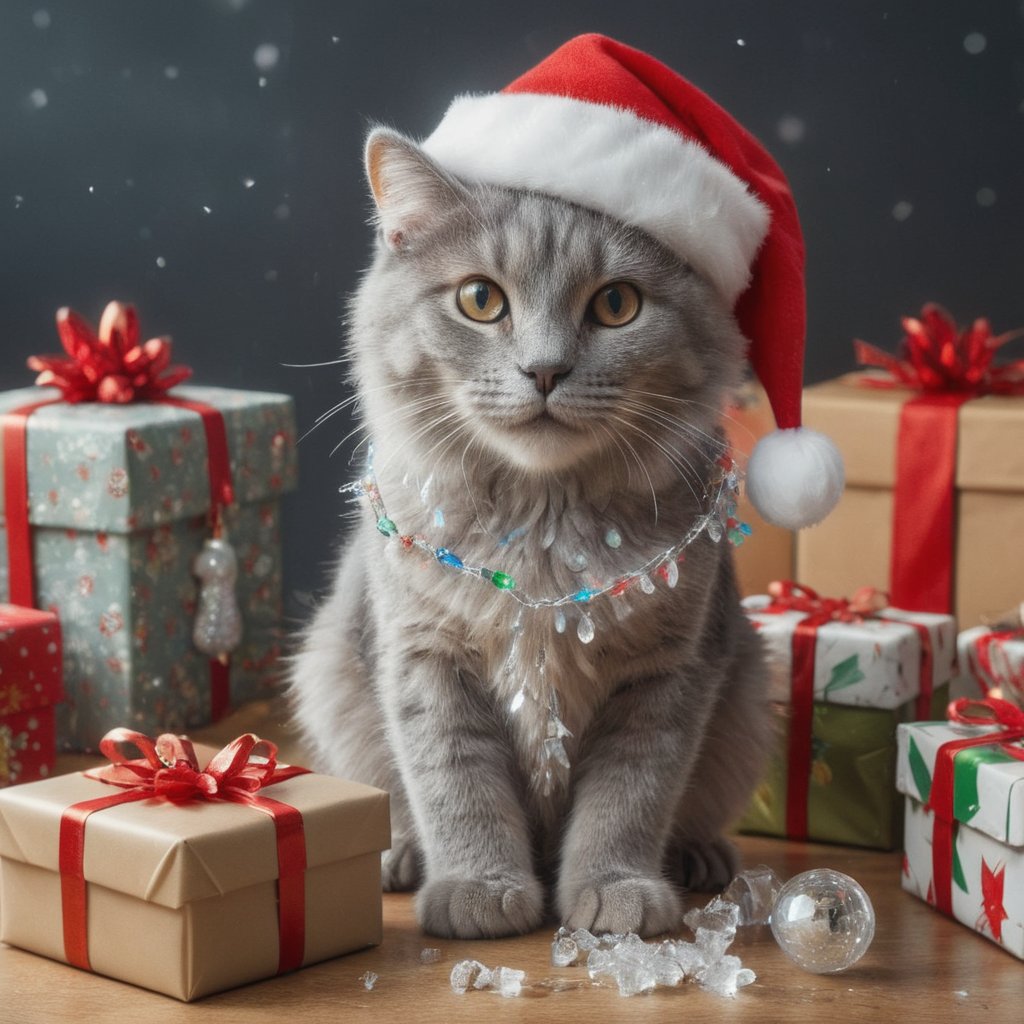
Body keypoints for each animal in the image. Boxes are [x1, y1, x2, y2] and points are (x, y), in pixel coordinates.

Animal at [286, 130, 770, 942]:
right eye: (480, 299)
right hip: (331, 674)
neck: (543, 531)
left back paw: (700, 856)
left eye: (617, 303)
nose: (544, 370)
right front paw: (478, 888)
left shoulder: (668, 672)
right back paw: (396, 856)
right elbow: (456, 784)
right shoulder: (426, 658)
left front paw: (615, 890)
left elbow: (630, 796)